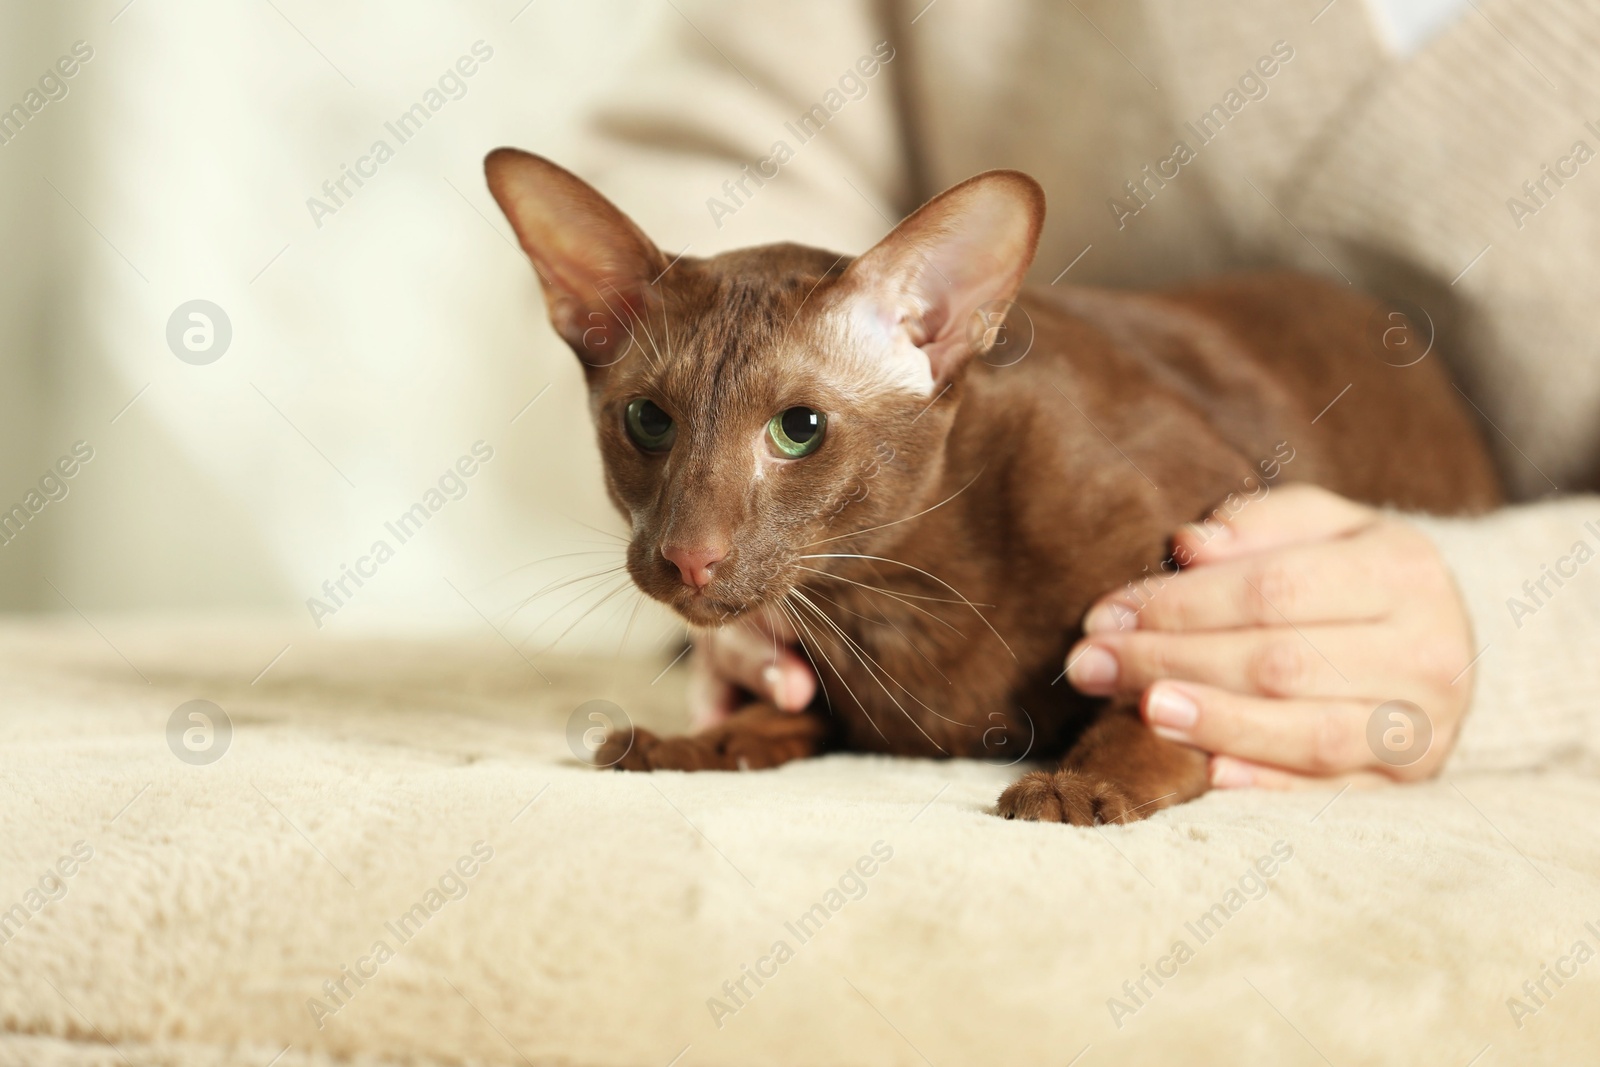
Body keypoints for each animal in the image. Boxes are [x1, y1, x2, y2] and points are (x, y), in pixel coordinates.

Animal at [483, 147, 1497, 825]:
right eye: (648, 421)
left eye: (798, 429)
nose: (689, 556)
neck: (890, 598)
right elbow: (789, 712)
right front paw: (691, 745)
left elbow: (1155, 704)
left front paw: (1081, 787)